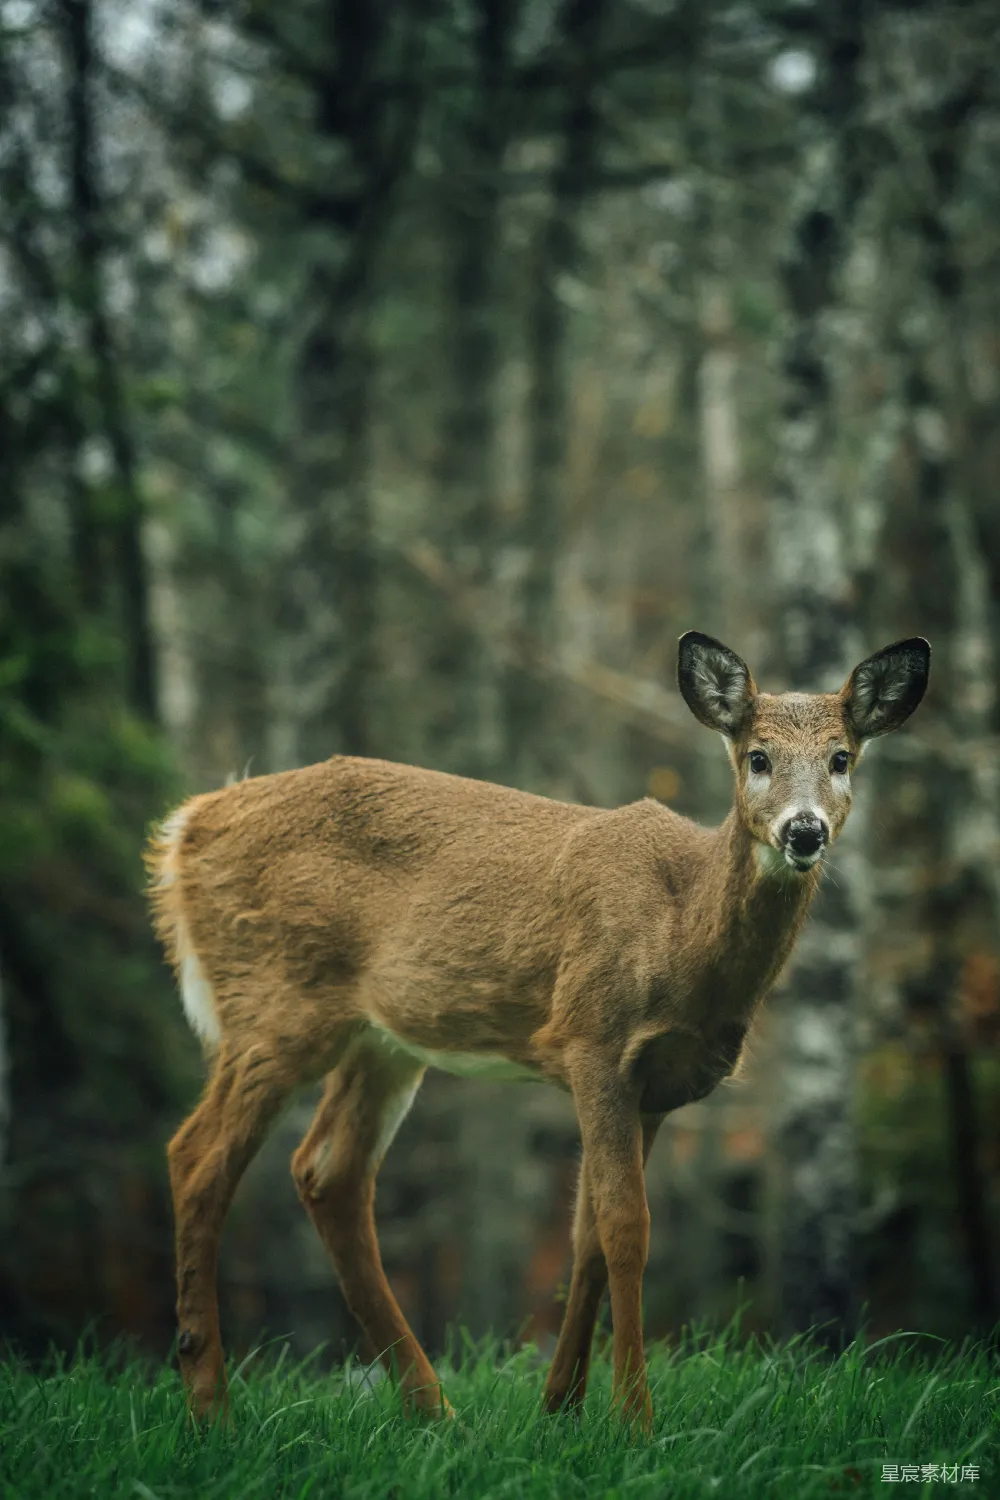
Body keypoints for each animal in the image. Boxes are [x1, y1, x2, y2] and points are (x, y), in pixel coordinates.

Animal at [147, 631, 930, 1432]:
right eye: (758, 757)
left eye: (842, 757)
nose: (804, 830)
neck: (680, 935)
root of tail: (185, 829)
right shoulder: (594, 1038)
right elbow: (626, 1226)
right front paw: (633, 1420)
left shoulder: (658, 1085)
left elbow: (587, 1237)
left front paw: (561, 1407)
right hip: (274, 1001)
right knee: (196, 1157)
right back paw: (212, 1406)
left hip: (383, 1040)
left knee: (327, 1172)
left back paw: (434, 1410)